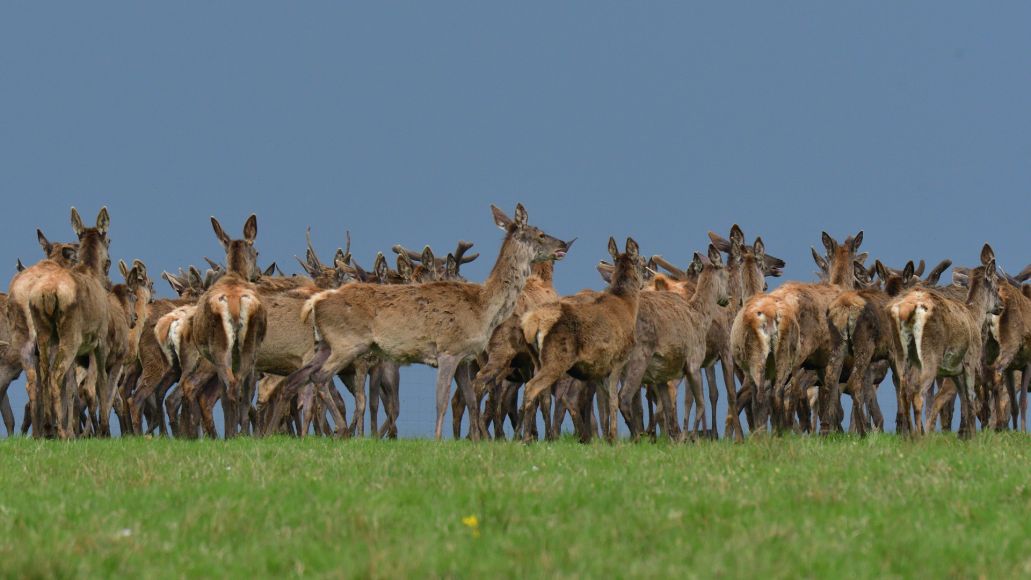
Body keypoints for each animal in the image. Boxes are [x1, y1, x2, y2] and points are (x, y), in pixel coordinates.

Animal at [21, 208, 112, 439]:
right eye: (109, 241)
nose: (108, 279)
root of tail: (47, 293)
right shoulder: (101, 339)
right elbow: (101, 383)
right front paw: (104, 431)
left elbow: (71, 389)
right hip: (70, 335)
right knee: (55, 376)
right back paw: (61, 432)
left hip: (44, 333)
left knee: (45, 375)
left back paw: (48, 428)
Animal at [179, 215, 268, 437]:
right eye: (257, 252)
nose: (258, 274)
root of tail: (234, 302)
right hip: (246, 346)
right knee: (239, 386)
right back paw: (237, 433)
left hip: (220, 347)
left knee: (231, 386)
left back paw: (229, 434)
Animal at [277, 203, 571, 441]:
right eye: (540, 233)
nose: (564, 244)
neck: (483, 308)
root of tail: (315, 301)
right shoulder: (448, 350)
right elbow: (441, 401)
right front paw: (439, 441)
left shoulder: (465, 358)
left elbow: (470, 399)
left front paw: (477, 441)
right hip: (346, 343)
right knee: (320, 378)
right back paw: (341, 431)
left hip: (323, 345)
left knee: (297, 379)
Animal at [519, 237, 645, 443]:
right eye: (642, 262)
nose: (643, 284)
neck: (628, 306)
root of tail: (533, 323)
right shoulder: (618, 359)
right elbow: (614, 399)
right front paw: (614, 438)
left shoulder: (600, 369)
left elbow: (605, 403)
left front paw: (608, 439)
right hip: (557, 358)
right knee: (531, 388)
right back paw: (526, 439)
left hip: (537, 360)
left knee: (540, 396)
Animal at [888, 244, 1002, 437]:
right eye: (996, 284)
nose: (1001, 304)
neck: (974, 316)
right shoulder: (970, 360)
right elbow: (970, 398)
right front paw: (972, 436)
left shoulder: (954, 370)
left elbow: (964, 400)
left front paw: (965, 435)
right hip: (929, 355)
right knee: (918, 394)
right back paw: (920, 436)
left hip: (901, 355)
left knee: (903, 391)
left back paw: (909, 435)